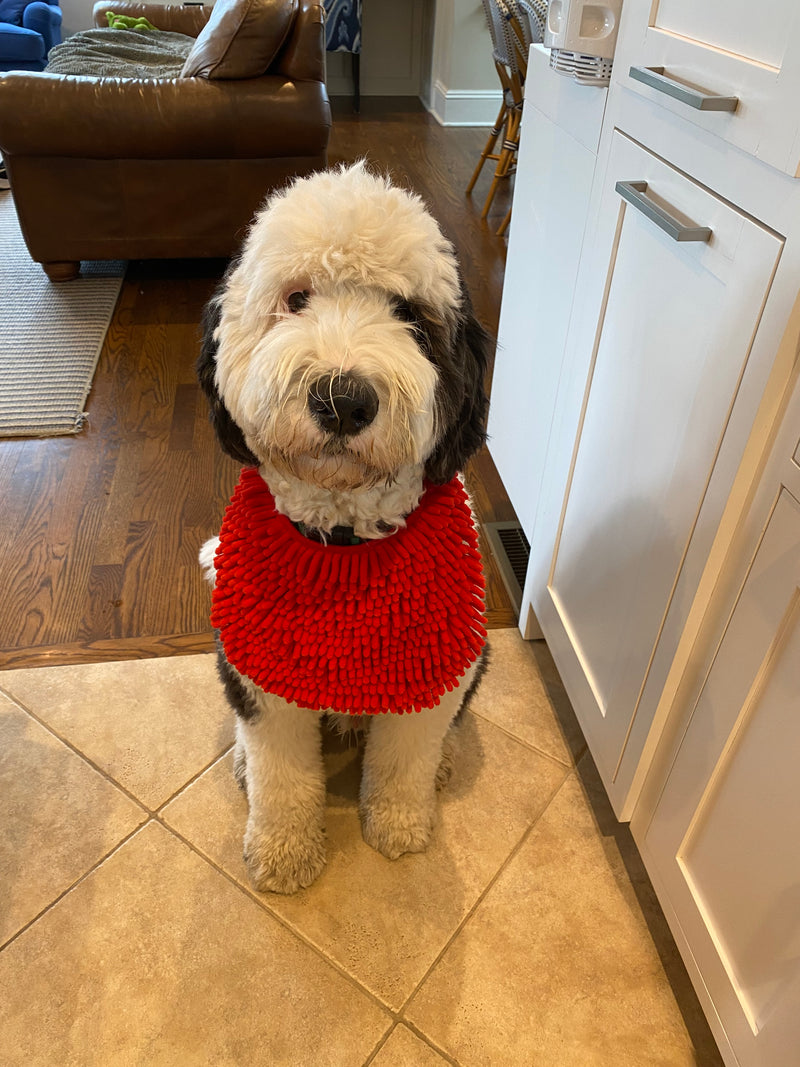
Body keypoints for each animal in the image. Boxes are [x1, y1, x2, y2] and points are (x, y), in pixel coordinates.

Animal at [196, 162, 492, 896]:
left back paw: (444, 764)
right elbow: (281, 774)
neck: (344, 537)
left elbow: (406, 759)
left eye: (410, 314)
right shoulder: (262, 676)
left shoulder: (432, 667)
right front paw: (283, 852)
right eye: (296, 298)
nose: (342, 398)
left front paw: (400, 825)